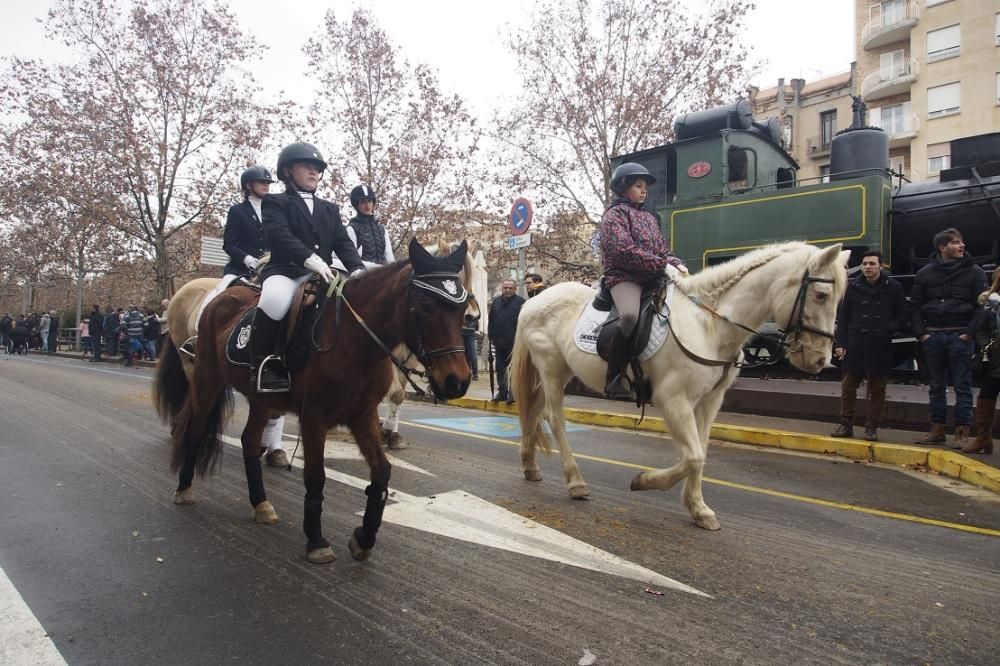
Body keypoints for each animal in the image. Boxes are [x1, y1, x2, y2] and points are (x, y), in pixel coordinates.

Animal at [153, 237, 472, 560]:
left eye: (461, 308)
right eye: (426, 305)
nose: (457, 381)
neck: (355, 340)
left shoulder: (363, 415)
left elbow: (381, 472)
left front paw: (364, 537)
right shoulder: (314, 417)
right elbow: (316, 476)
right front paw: (317, 540)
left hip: (261, 400)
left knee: (249, 441)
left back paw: (261, 504)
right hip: (206, 379)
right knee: (195, 430)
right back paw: (184, 489)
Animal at [512, 244, 848, 528]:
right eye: (820, 294)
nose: (821, 360)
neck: (709, 326)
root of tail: (533, 302)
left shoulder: (709, 401)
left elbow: (700, 453)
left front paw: (699, 509)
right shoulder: (674, 400)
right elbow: (694, 456)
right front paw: (644, 481)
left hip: (558, 373)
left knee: (534, 410)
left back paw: (530, 466)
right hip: (552, 370)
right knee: (555, 419)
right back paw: (575, 482)